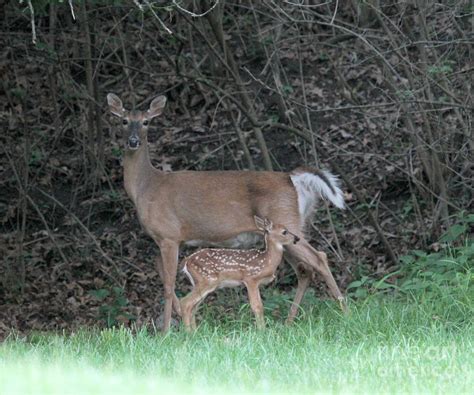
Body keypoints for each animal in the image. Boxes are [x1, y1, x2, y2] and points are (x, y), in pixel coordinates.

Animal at [108, 93, 348, 334]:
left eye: (146, 122)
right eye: (123, 121)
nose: (133, 141)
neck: (146, 188)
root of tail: (293, 179)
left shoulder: (169, 235)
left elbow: (168, 284)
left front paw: (166, 331)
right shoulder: (163, 240)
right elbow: (163, 276)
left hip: (287, 220)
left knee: (319, 258)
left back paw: (344, 310)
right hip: (286, 231)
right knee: (304, 269)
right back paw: (289, 321)